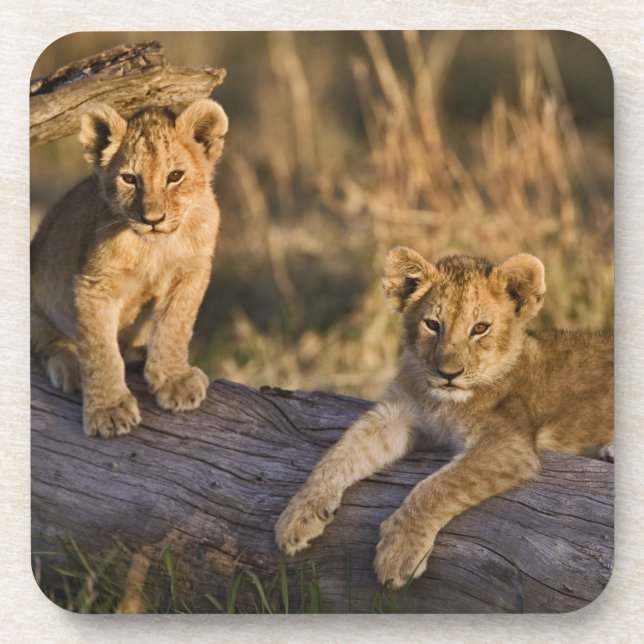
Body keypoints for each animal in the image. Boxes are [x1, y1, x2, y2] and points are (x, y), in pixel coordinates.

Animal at [31, 99, 228, 438]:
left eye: (175, 176)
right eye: (129, 179)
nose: (153, 219)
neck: (156, 246)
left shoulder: (192, 270)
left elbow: (175, 325)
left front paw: (174, 380)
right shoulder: (93, 284)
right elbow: (100, 350)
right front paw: (108, 411)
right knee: (48, 342)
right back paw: (70, 369)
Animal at [275, 247, 613, 588]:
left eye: (480, 328)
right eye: (432, 325)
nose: (448, 374)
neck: (444, 402)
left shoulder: (509, 446)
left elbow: (437, 487)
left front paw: (399, 552)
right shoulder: (395, 414)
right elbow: (339, 453)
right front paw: (298, 515)